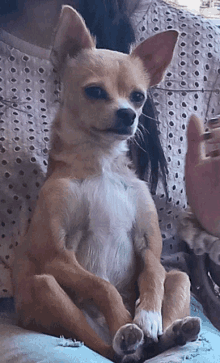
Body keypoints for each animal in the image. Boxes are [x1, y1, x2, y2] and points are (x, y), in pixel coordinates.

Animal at [12, 6, 201, 363]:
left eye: (139, 97)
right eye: (95, 91)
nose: (128, 114)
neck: (102, 163)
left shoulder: (149, 246)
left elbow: (152, 275)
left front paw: (148, 315)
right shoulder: (57, 256)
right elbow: (103, 286)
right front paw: (127, 319)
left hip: (182, 278)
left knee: (162, 319)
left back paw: (172, 332)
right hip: (46, 287)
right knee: (102, 346)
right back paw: (125, 338)